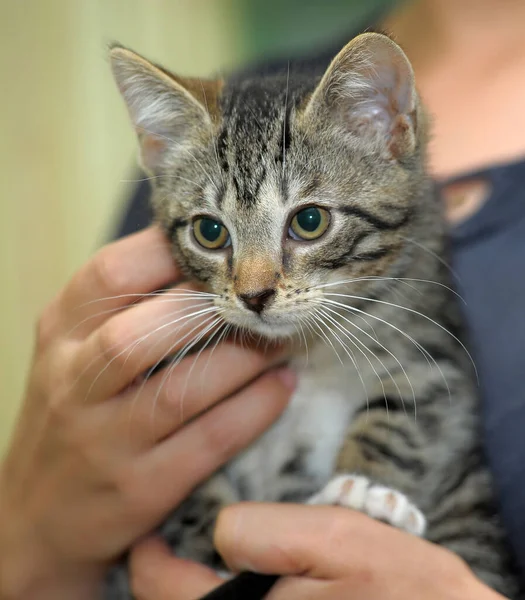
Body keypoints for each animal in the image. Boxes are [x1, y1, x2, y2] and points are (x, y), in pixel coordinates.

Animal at [106, 35, 520, 596]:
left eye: (309, 221)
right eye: (209, 232)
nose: (254, 295)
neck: (306, 349)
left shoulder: (432, 346)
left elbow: (408, 417)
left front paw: (364, 488)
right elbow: (186, 485)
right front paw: (211, 546)